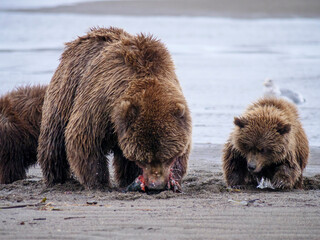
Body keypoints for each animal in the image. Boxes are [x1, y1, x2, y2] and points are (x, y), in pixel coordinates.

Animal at [38, 26, 192, 191]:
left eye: (167, 157)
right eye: (144, 159)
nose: (155, 185)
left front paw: (173, 180)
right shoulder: (101, 103)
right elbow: (84, 138)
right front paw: (100, 182)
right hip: (67, 88)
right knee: (54, 138)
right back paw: (57, 178)